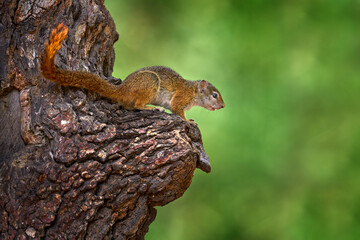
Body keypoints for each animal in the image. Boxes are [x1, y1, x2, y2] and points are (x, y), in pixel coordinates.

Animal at [40, 23, 225, 121]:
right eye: (214, 95)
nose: (223, 106)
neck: (193, 92)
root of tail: (123, 89)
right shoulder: (181, 97)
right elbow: (177, 110)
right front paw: (190, 121)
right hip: (150, 82)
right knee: (137, 105)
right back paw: (151, 108)